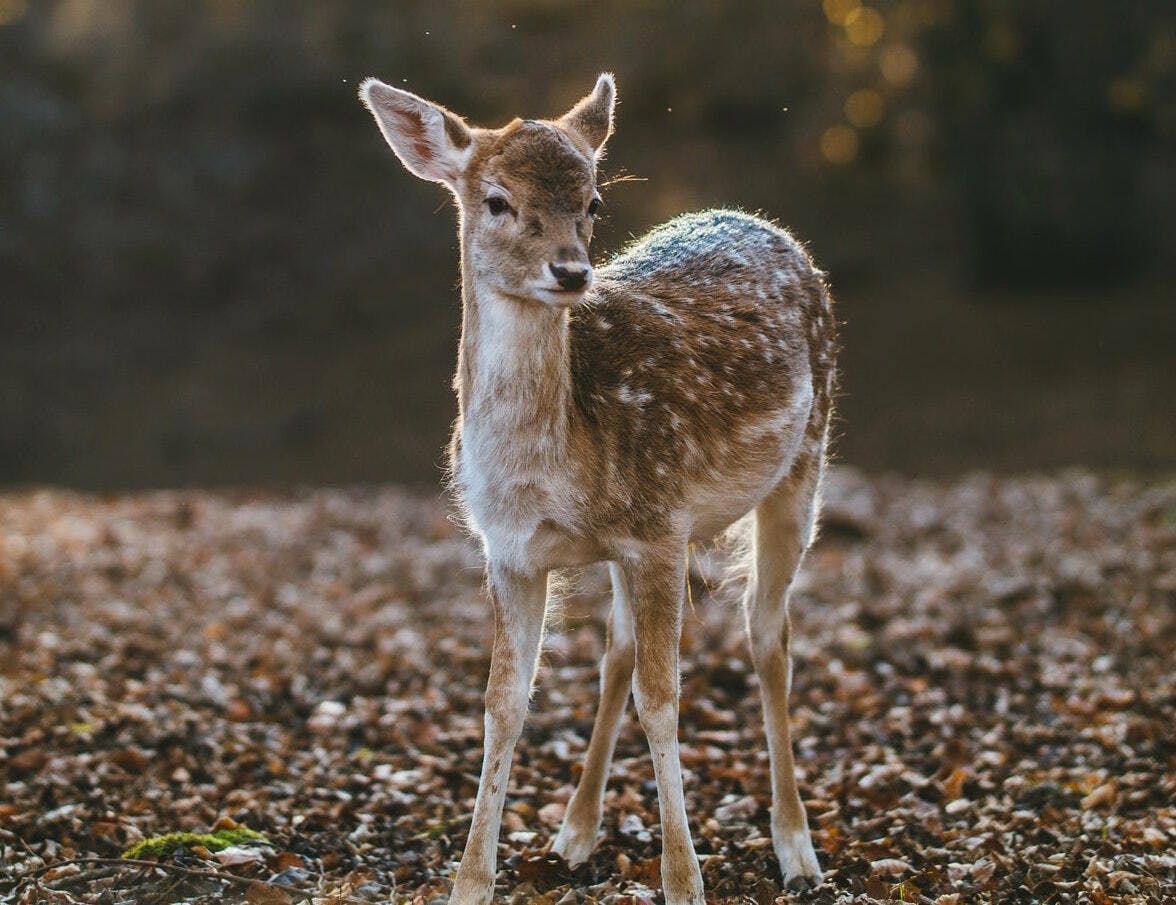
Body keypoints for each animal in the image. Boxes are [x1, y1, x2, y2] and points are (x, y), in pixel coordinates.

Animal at [357, 72, 837, 902]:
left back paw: (797, 847)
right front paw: (471, 881)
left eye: (593, 202)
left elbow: (663, 698)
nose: (572, 271)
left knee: (768, 636)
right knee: (617, 649)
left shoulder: (662, 525)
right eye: (496, 199)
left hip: (805, 461)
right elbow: (504, 702)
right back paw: (576, 831)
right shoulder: (510, 551)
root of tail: (769, 227)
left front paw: (685, 880)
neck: (548, 470)